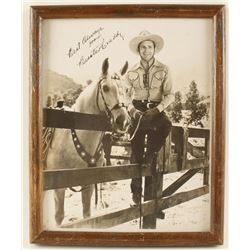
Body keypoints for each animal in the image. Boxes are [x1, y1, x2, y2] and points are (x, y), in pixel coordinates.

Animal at [45, 57, 130, 226]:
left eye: (126, 89)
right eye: (105, 88)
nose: (122, 121)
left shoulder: (88, 184)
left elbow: (87, 215)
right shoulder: (58, 187)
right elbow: (59, 216)